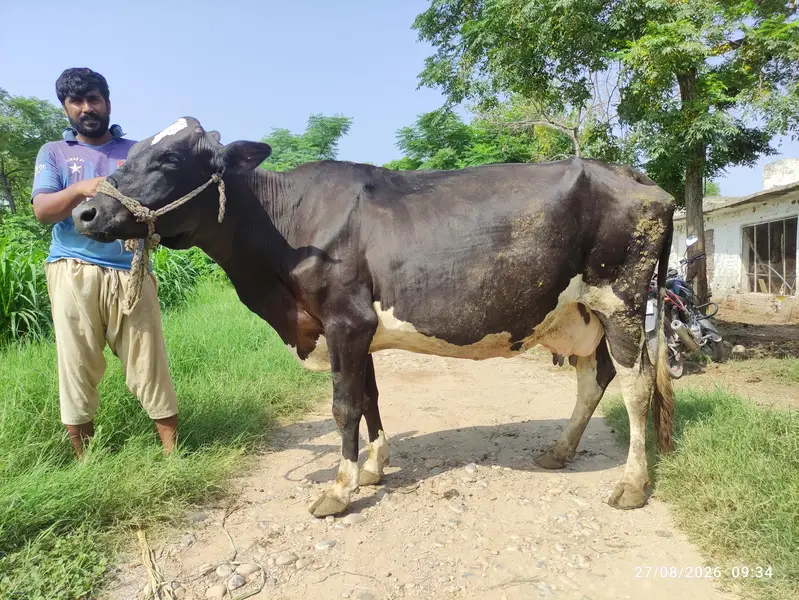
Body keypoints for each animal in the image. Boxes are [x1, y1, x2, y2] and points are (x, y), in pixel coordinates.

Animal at [73, 117, 675, 518]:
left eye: (169, 160)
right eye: (129, 155)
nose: (85, 211)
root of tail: (632, 174)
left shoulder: (345, 320)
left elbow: (344, 406)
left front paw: (338, 490)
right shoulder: (359, 331)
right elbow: (369, 398)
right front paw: (372, 467)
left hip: (621, 296)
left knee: (636, 384)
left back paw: (632, 485)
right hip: (580, 309)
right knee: (593, 377)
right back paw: (559, 451)